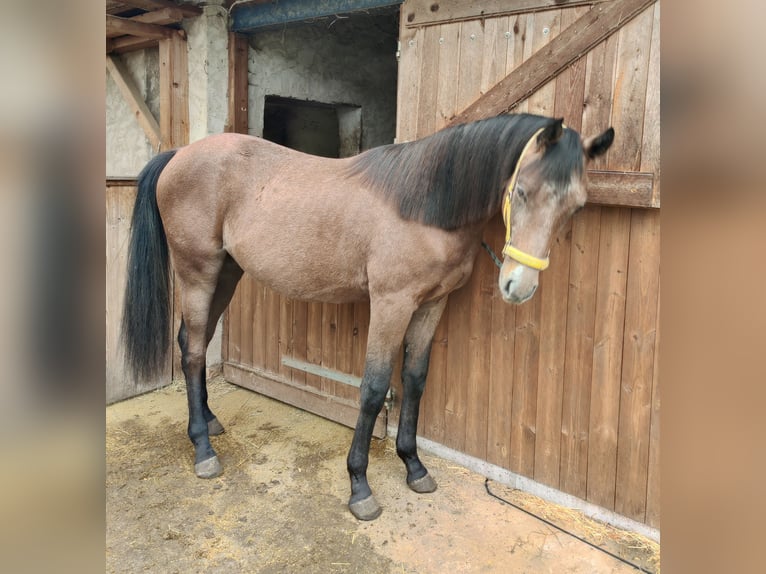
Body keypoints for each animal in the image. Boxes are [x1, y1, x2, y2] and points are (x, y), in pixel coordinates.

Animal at [123, 112, 616, 520]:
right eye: (522, 191)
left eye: (575, 206)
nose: (519, 286)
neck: (425, 205)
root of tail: (179, 155)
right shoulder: (391, 304)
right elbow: (375, 388)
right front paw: (359, 486)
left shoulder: (432, 305)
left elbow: (415, 378)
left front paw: (413, 465)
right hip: (197, 273)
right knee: (191, 353)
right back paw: (203, 450)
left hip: (226, 273)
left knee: (194, 342)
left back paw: (208, 421)